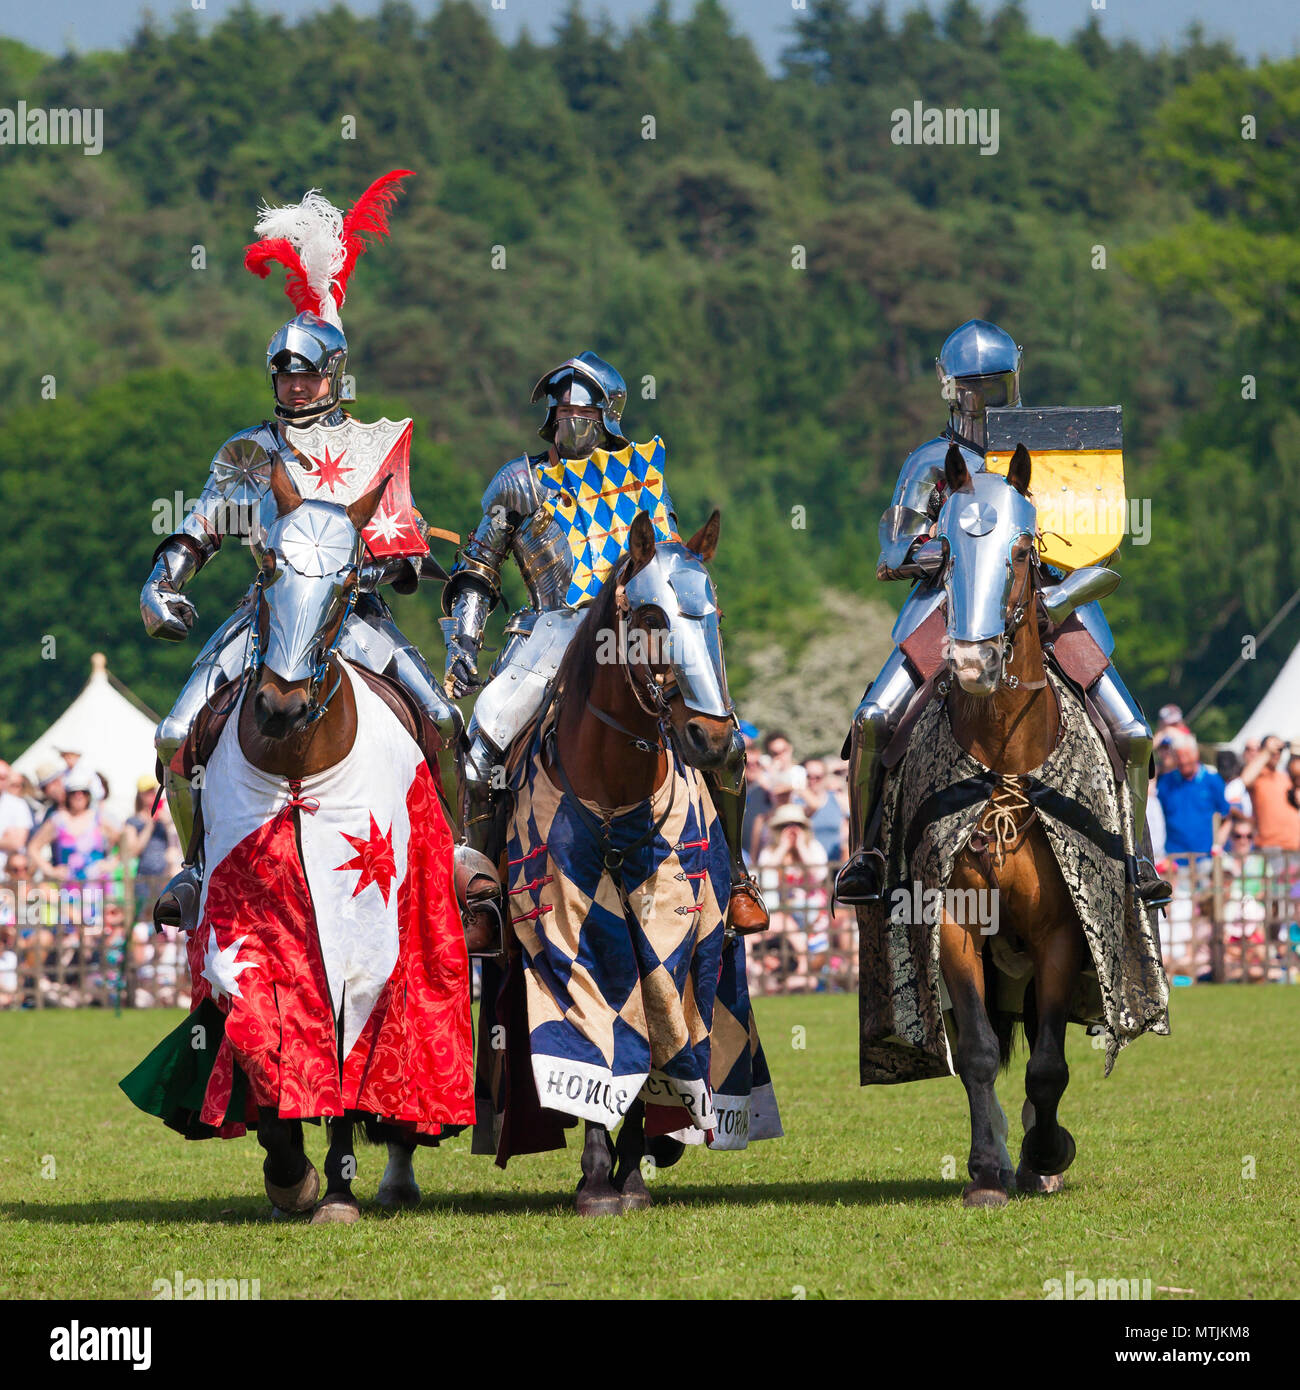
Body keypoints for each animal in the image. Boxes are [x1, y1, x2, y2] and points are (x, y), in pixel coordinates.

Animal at [120, 453, 472, 1217]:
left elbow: (349, 1037)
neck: (299, 767)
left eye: (346, 578)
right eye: (269, 567)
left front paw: (334, 1182)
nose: (279, 704)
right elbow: (258, 1024)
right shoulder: (244, 920)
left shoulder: (366, 930)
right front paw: (289, 1168)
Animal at [481, 511, 778, 1217]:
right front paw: (596, 1178)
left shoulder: (672, 925)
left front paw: (634, 1172)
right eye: (649, 616)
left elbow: (661, 1021)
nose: (714, 741)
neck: (614, 789)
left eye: (713, 614)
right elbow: (597, 1022)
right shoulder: (569, 919)